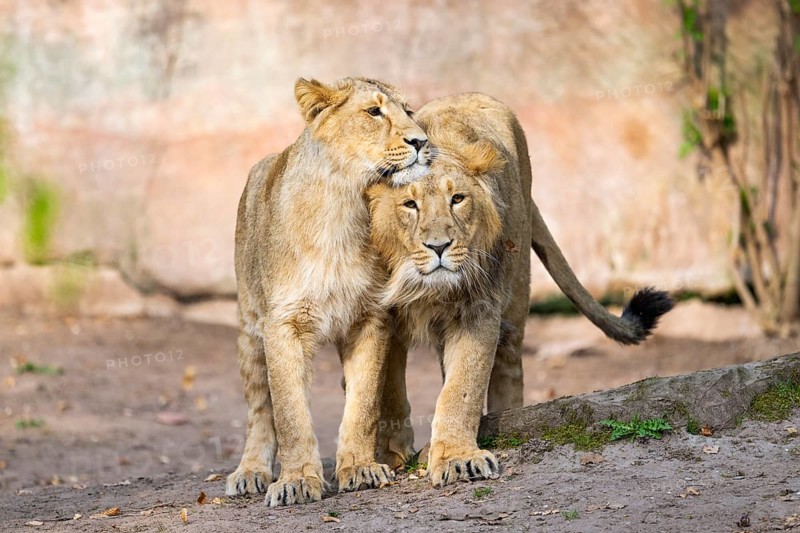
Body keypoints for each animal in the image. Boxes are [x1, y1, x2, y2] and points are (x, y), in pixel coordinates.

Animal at [227, 77, 432, 506]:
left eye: (408, 110)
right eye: (374, 112)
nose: (422, 141)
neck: (344, 204)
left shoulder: (371, 318)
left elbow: (363, 402)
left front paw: (360, 468)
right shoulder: (283, 325)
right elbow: (289, 411)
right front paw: (296, 481)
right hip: (250, 329)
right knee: (259, 410)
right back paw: (250, 472)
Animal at [367, 92, 673, 487]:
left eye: (458, 199)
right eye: (410, 204)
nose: (439, 246)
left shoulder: (479, 307)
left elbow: (462, 388)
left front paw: (456, 458)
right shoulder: (383, 312)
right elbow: (387, 388)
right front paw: (390, 454)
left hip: (515, 289)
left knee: (507, 367)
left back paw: (506, 421)